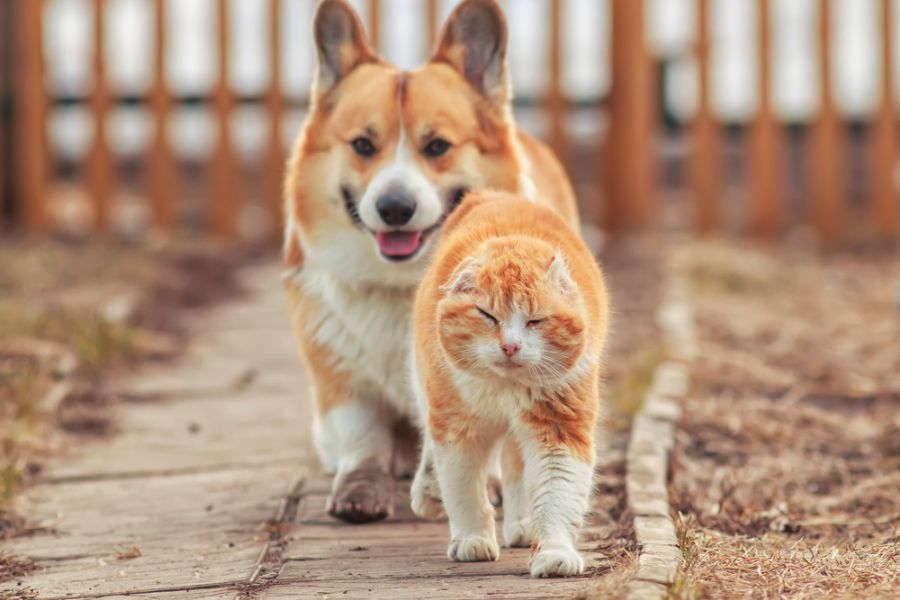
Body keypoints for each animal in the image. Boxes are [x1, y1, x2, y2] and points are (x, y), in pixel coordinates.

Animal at [282, 0, 576, 524]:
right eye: (362, 145)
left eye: (437, 146)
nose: (394, 207)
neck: (407, 283)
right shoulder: (339, 378)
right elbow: (362, 433)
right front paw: (361, 486)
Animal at [410, 192, 608, 576]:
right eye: (487, 316)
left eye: (535, 321)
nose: (511, 346)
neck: (506, 389)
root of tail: (492, 195)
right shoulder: (458, 429)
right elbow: (464, 489)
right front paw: (472, 540)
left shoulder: (559, 427)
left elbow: (557, 491)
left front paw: (553, 554)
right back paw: (428, 491)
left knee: (517, 470)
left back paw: (523, 524)